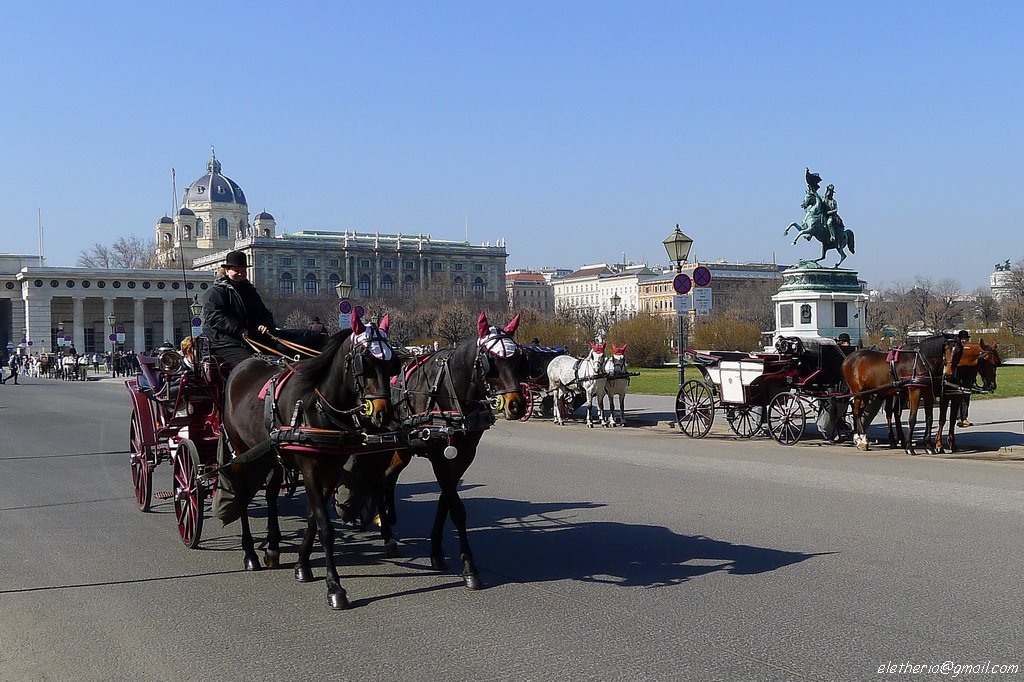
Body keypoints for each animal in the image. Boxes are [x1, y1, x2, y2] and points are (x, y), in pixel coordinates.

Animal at [222, 311, 401, 606]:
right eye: (364, 362)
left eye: (391, 363)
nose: (382, 414)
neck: (315, 405)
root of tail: (242, 366)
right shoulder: (309, 470)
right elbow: (325, 527)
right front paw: (334, 586)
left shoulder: (330, 469)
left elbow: (313, 519)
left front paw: (302, 565)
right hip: (239, 450)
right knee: (243, 496)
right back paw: (250, 553)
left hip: (272, 454)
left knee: (270, 495)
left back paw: (273, 547)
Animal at [372, 311, 524, 585]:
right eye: (490, 362)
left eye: (518, 359)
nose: (517, 405)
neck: (448, 392)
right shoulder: (438, 457)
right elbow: (456, 508)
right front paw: (469, 567)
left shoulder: (464, 456)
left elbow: (445, 501)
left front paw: (436, 551)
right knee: (379, 480)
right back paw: (387, 534)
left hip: (402, 448)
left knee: (387, 478)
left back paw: (386, 519)